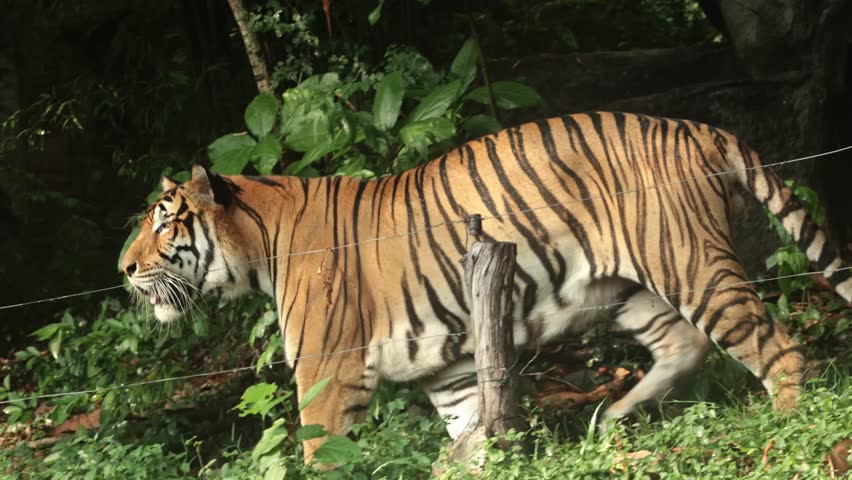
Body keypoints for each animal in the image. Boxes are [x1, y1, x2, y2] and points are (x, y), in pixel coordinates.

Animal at [122, 112, 852, 461]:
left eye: (163, 221)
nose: (123, 269)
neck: (260, 246)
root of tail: (695, 125)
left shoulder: (327, 372)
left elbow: (319, 454)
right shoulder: (445, 372)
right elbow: (472, 431)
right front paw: (469, 460)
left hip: (690, 264)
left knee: (779, 350)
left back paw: (785, 428)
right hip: (627, 287)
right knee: (683, 345)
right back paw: (611, 419)